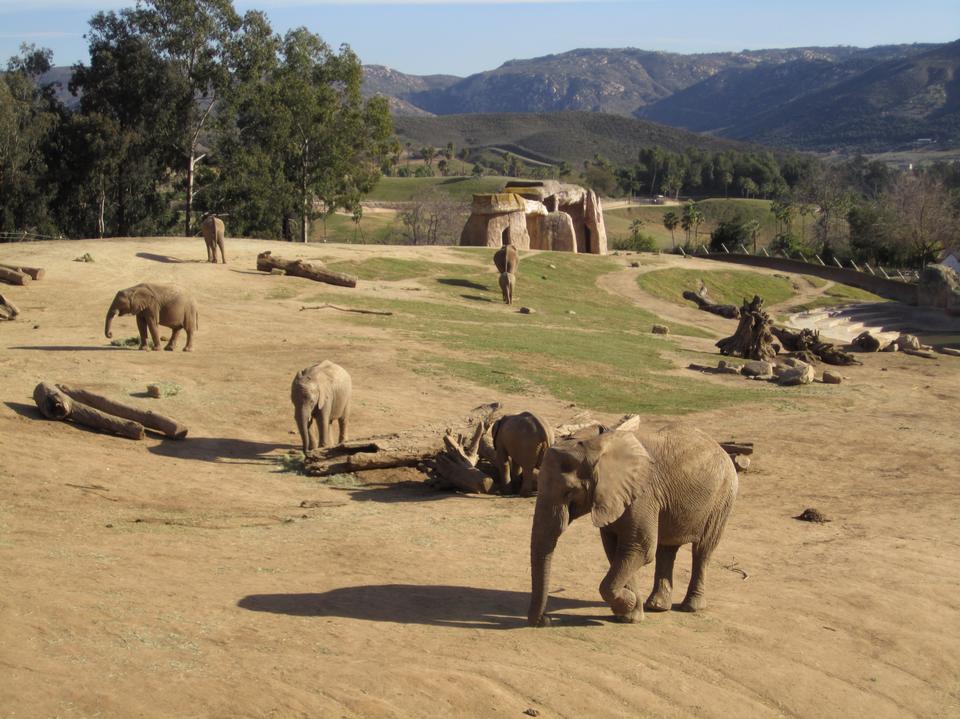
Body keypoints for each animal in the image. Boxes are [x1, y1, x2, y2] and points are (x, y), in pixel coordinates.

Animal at [528, 424, 740, 628]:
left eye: (569, 492)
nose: (545, 620)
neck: (597, 443)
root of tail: (722, 449)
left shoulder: (643, 495)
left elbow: (639, 549)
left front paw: (627, 605)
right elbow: (616, 550)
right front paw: (629, 615)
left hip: (723, 497)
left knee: (702, 550)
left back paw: (690, 607)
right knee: (667, 550)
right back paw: (657, 606)